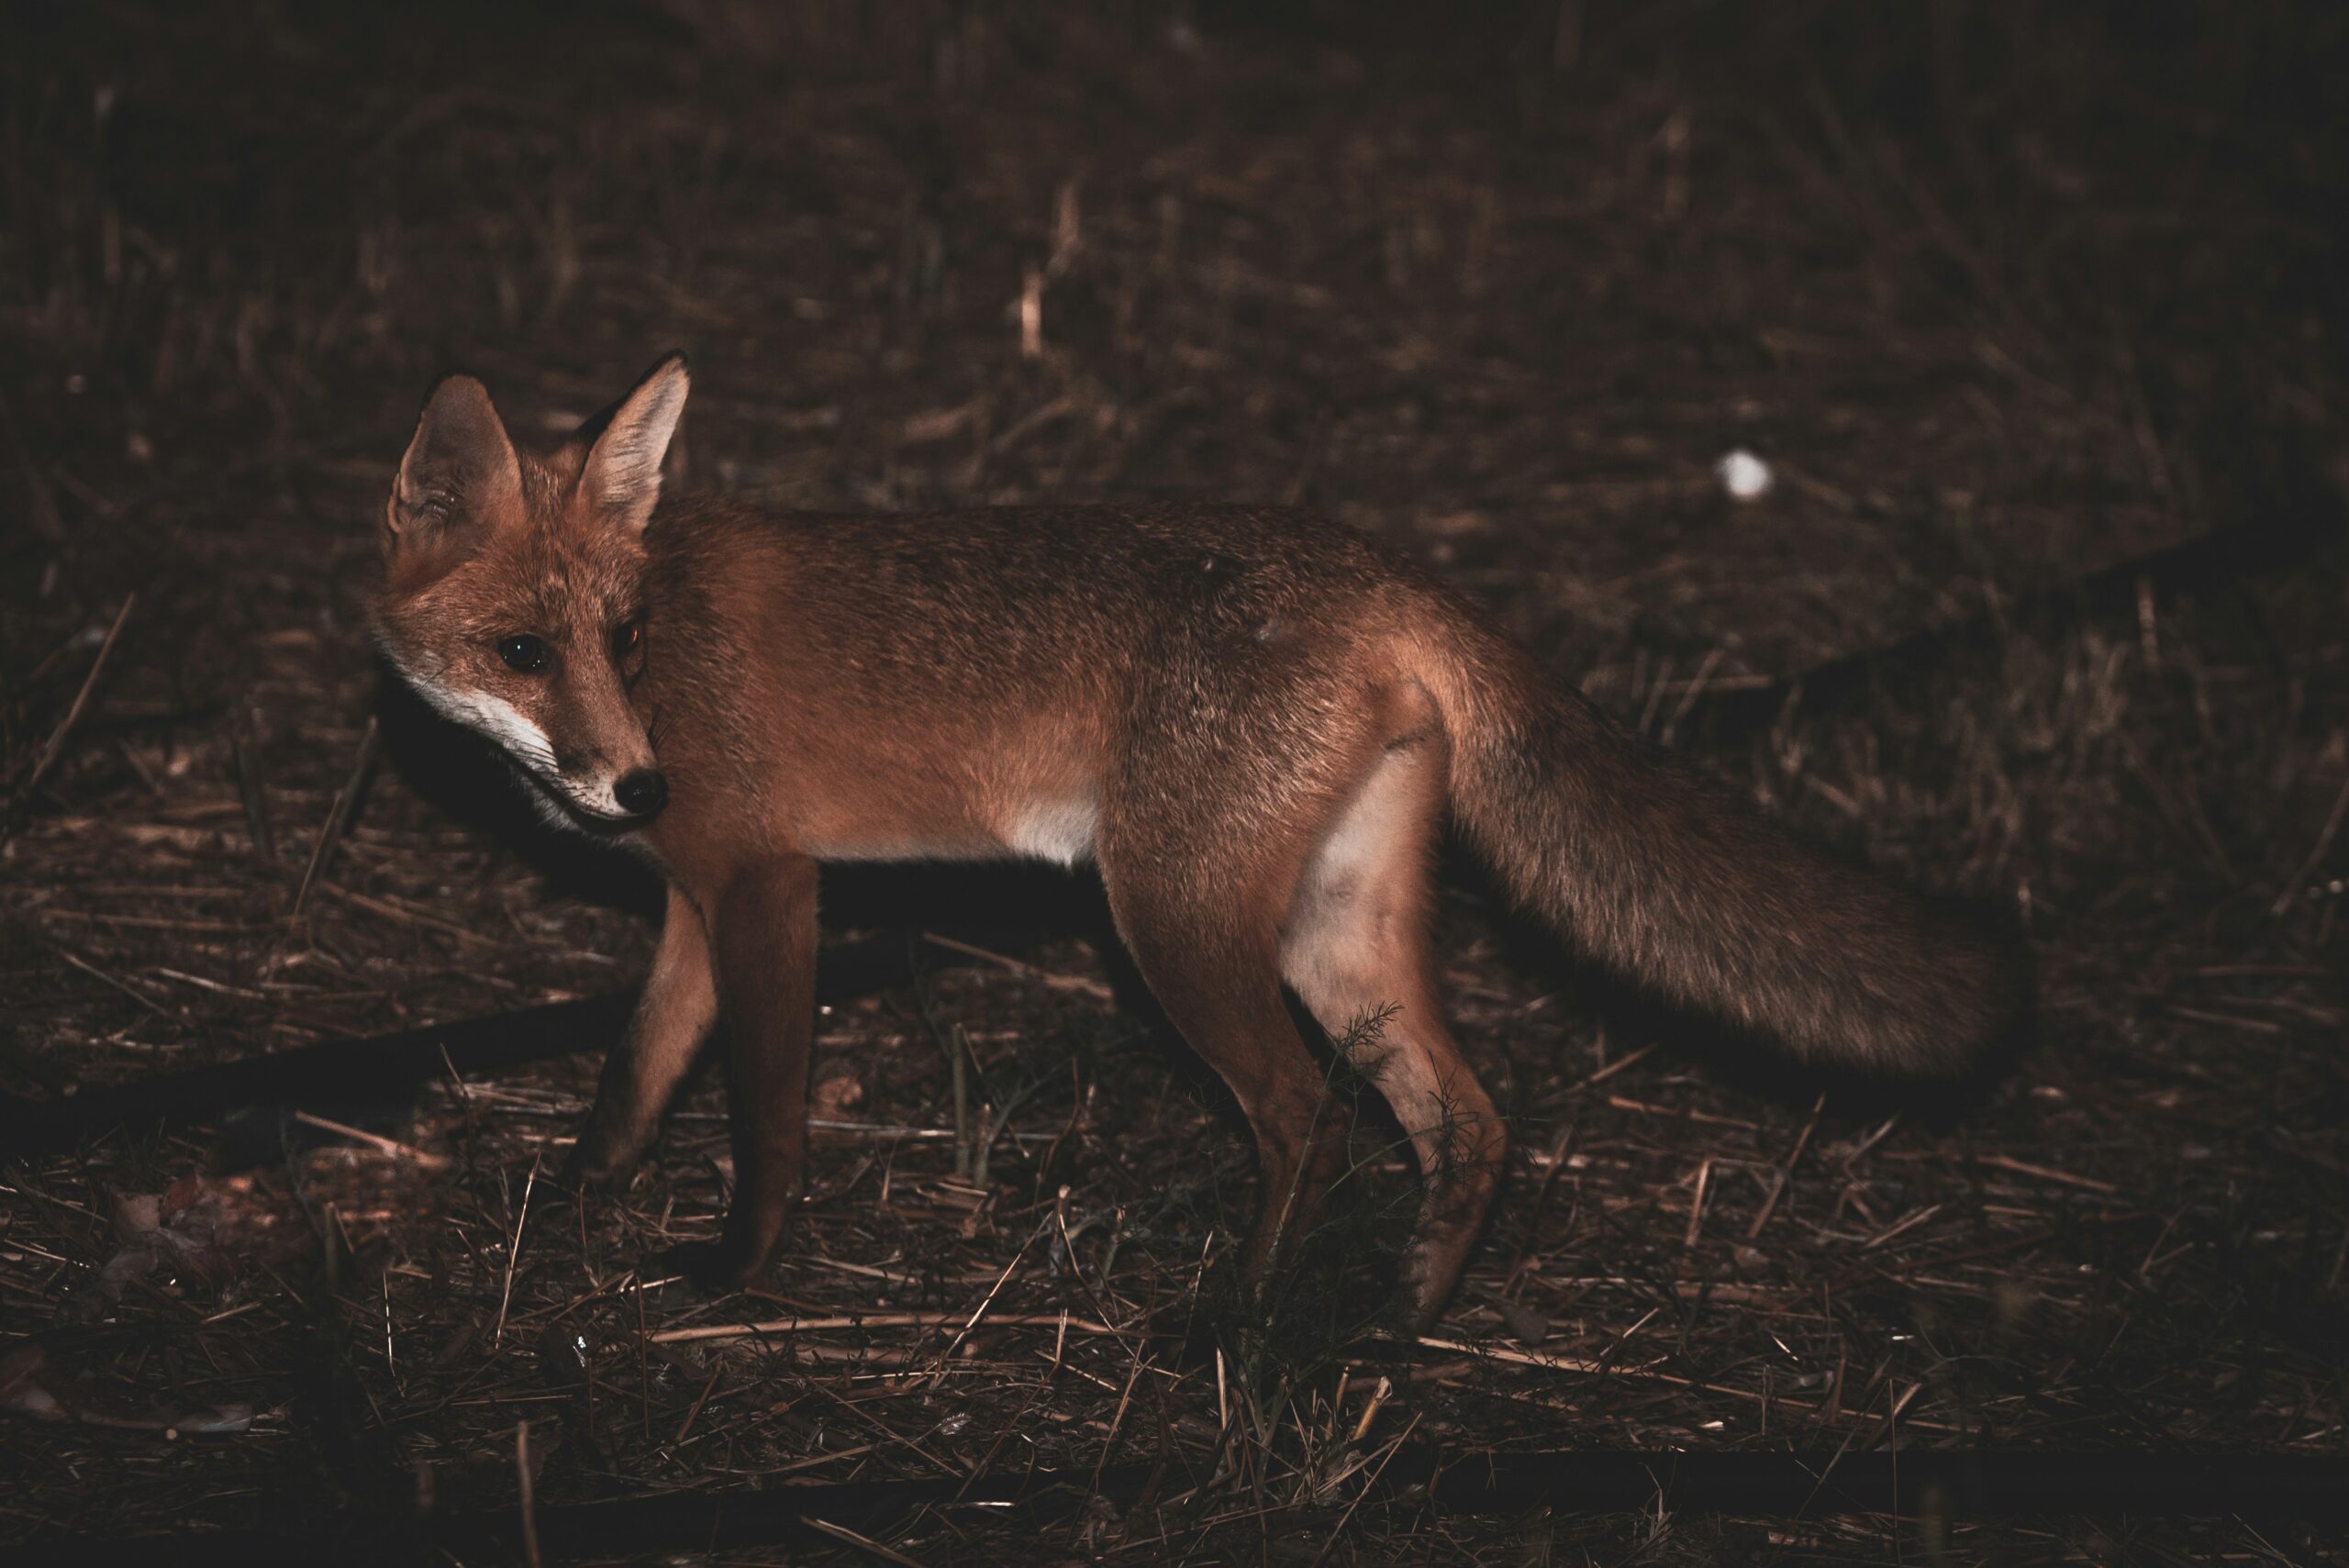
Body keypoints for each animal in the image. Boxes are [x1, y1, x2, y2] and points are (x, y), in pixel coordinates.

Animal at [372, 353, 2025, 1331]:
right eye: (525, 649)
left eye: (620, 639)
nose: (633, 789)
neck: (674, 663)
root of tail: (1380, 567)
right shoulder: (691, 904)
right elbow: (631, 1075)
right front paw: (578, 1197)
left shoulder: (765, 884)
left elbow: (762, 1112)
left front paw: (735, 1270)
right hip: (1333, 934)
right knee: (1467, 1118)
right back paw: (1404, 1321)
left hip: (1170, 919)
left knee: (1306, 1116)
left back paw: (1240, 1315)